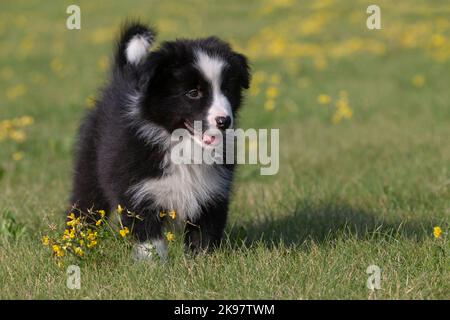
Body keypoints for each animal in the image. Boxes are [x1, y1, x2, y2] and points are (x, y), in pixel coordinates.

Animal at [69, 22, 250, 262]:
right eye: (193, 92)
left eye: (227, 89)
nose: (224, 121)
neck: (183, 145)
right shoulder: (137, 189)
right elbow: (149, 236)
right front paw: (153, 265)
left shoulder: (213, 193)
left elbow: (204, 235)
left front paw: (201, 263)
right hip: (89, 170)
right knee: (83, 207)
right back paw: (76, 243)